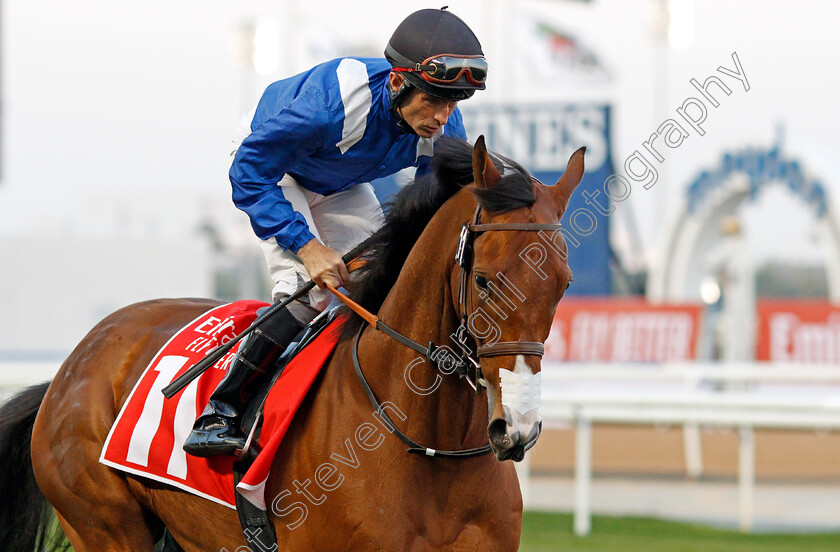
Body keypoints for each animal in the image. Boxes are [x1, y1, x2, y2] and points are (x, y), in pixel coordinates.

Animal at [0, 137, 580, 552]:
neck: (429, 447)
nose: (518, 429)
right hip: (103, 523)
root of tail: (70, 368)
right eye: (483, 280)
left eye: (563, 283)